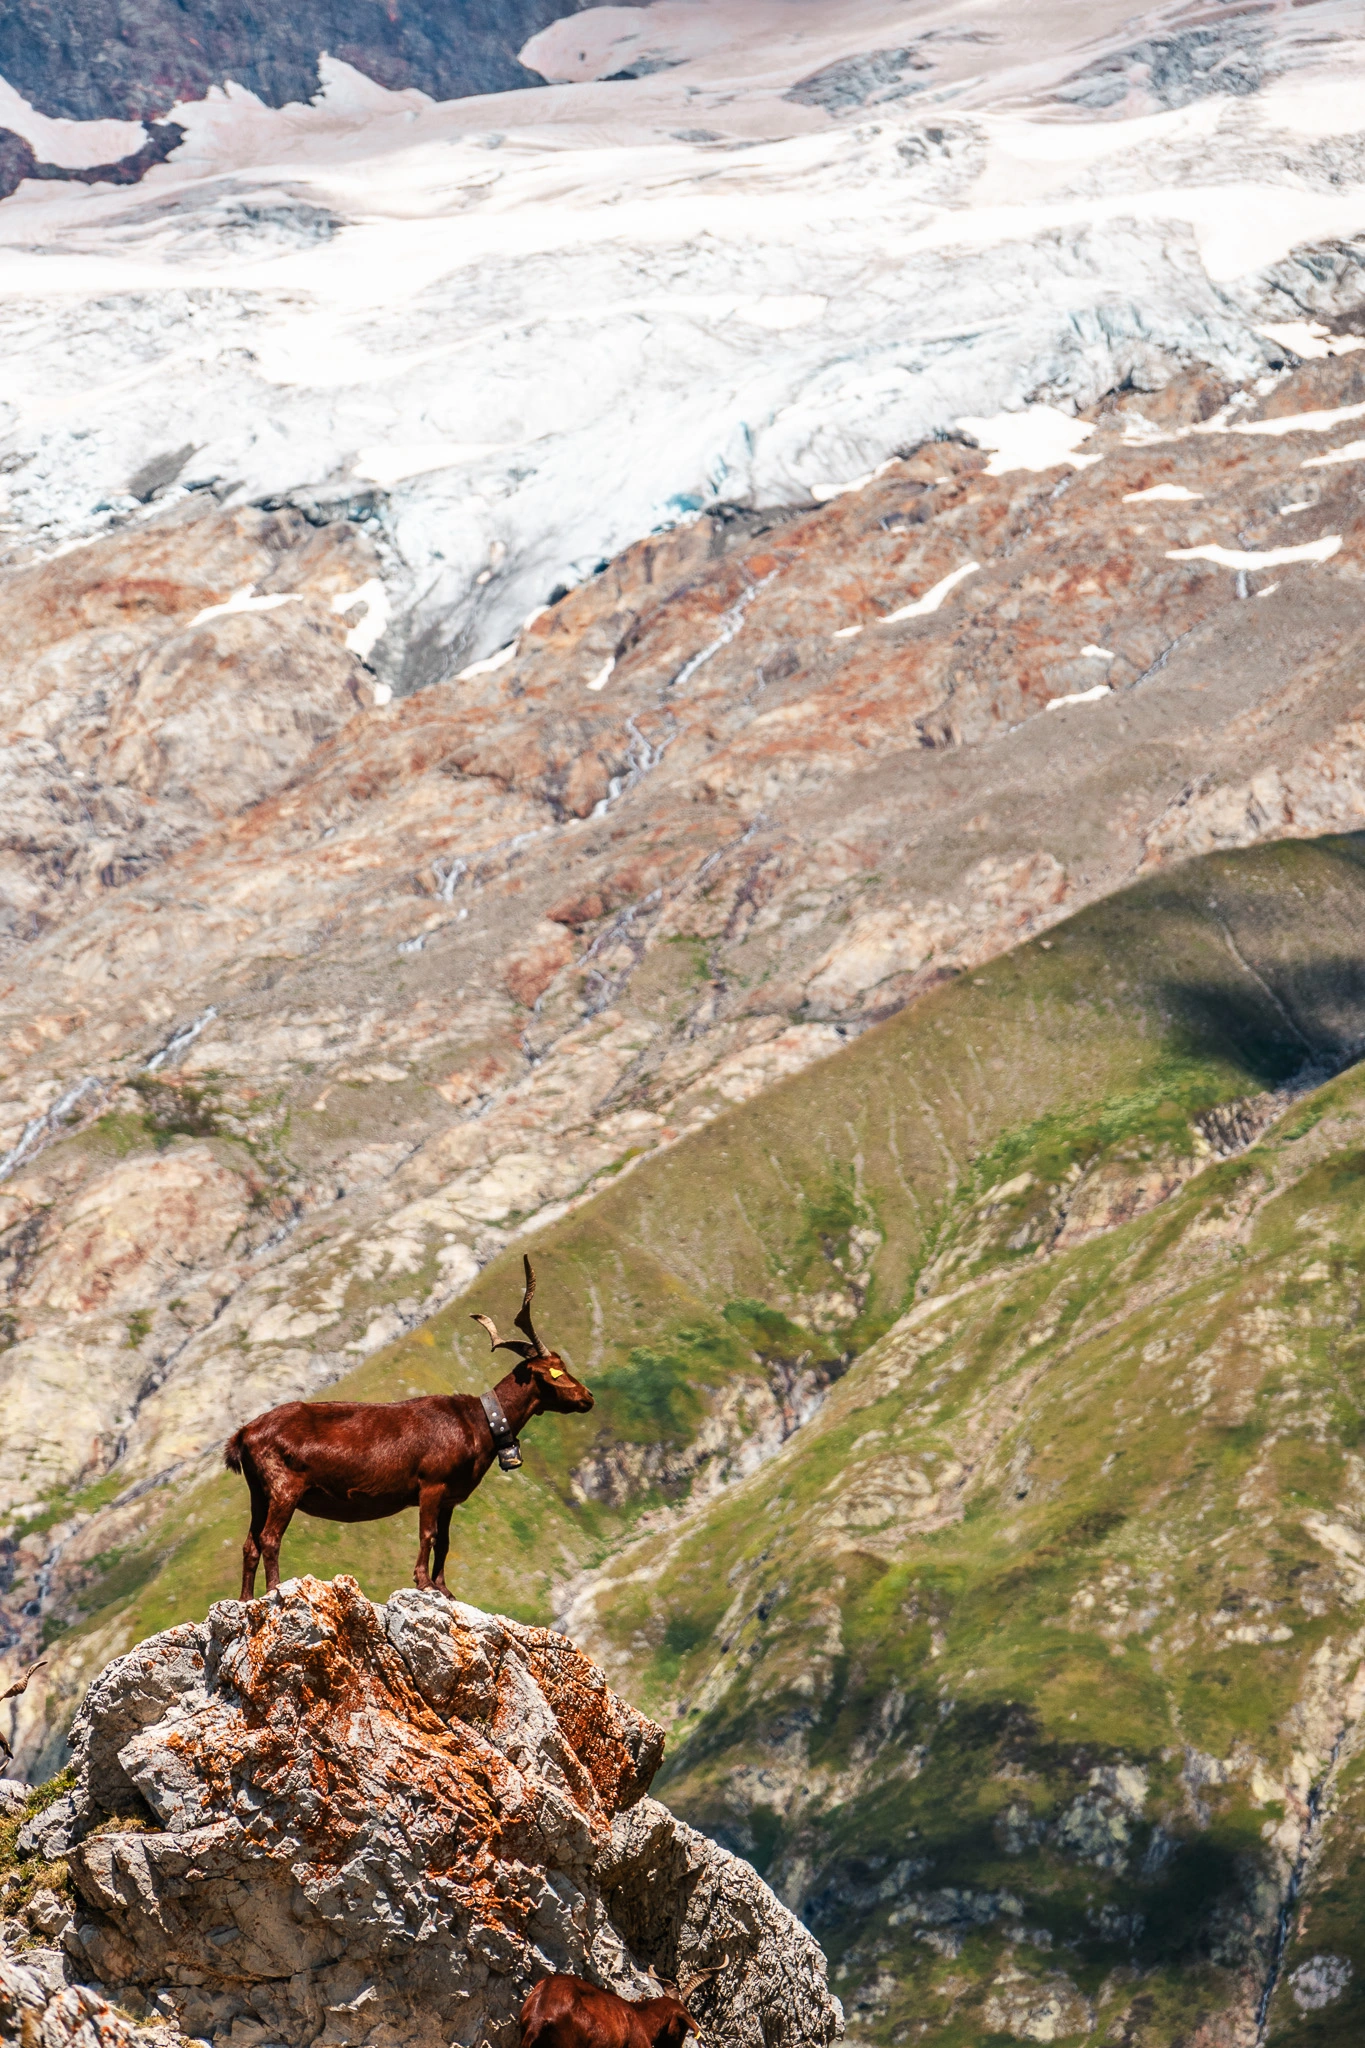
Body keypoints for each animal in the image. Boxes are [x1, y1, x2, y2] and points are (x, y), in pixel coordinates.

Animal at [222, 1253, 589, 1605]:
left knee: (250, 1544)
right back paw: (275, 1590)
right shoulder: (432, 1483)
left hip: (259, 1491)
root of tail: (244, 1434)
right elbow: (428, 1535)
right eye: (557, 1371)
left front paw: (446, 1591)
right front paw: (424, 1583)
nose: (588, 1397)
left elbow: (445, 1541)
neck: (476, 1421)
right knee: (270, 1538)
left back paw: (244, 1600)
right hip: (284, 1486)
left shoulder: (449, 1498)